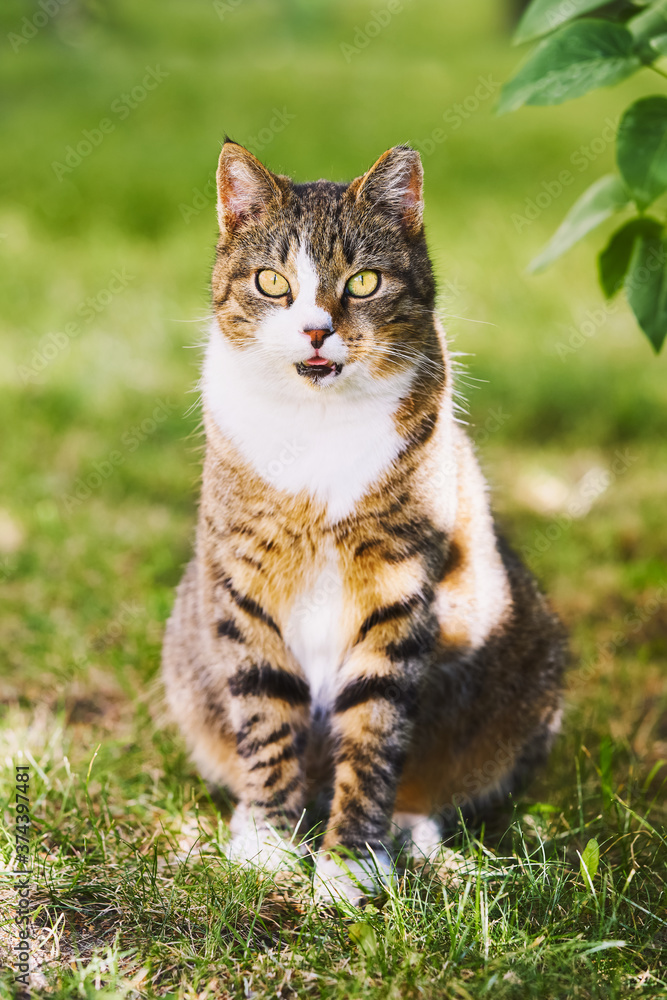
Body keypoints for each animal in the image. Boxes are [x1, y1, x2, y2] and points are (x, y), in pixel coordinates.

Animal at [160, 139, 564, 908]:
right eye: (271, 282)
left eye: (364, 281)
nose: (317, 329)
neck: (318, 425)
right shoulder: (247, 580)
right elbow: (266, 714)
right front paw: (269, 842)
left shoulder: (399, 586)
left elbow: (374, 731)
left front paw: (350, 861)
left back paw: (413, 833)